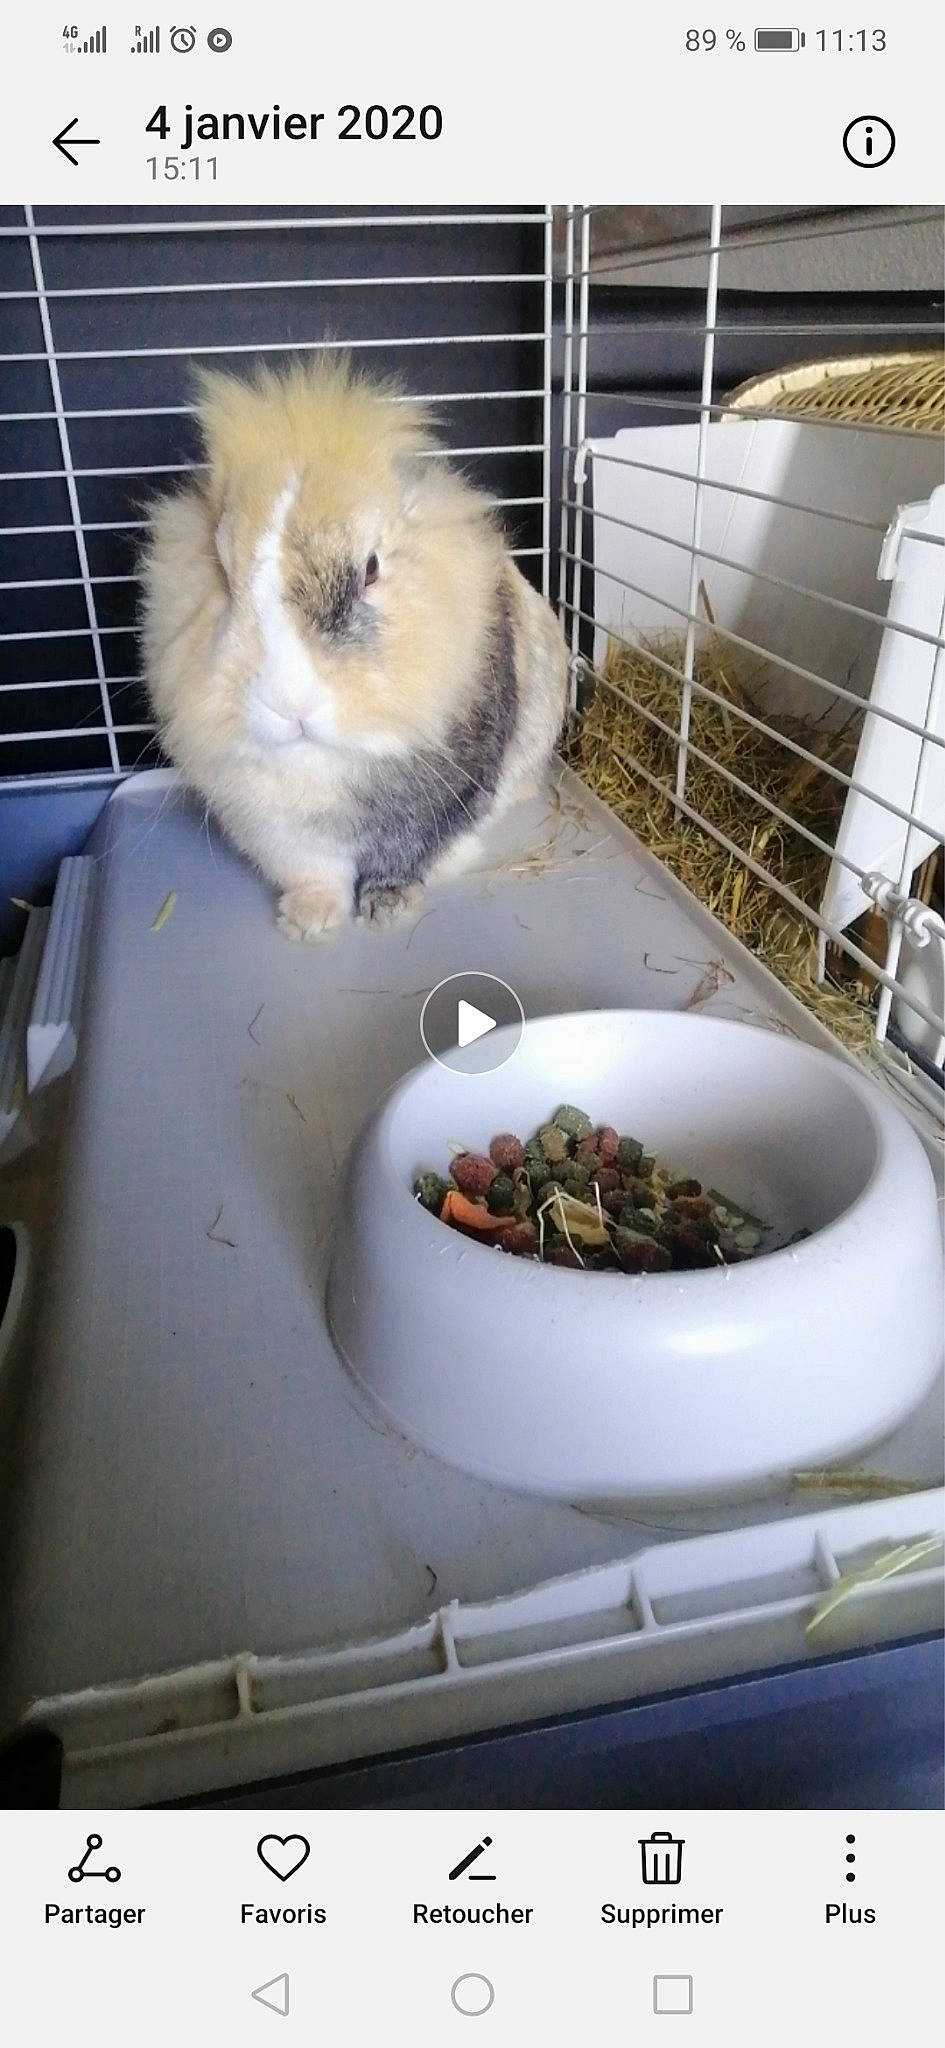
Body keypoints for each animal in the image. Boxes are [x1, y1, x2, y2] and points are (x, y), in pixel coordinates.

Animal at [141, 357, 568, 939]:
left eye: (370, 569)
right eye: (223, 575)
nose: (291, 705)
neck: (322, 762)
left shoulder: (440, 803)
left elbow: (406, 858)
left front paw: (388, 911)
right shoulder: (276, 830)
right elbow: (314, 873)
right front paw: (305, 924)